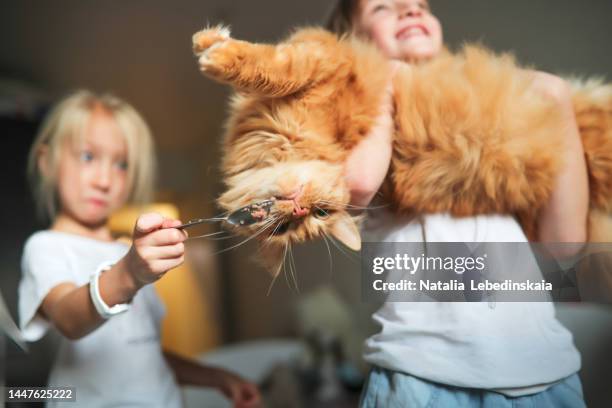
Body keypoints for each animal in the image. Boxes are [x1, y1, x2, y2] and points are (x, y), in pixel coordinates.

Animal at [191, 26, 612, 278]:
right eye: (286, 228)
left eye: (320, 213)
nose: (297, 208)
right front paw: (211, 44)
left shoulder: (329, 59)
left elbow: (275, 67)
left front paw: (213, 49)